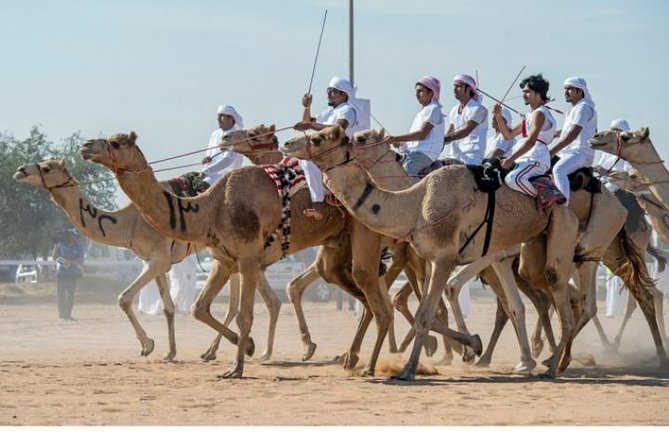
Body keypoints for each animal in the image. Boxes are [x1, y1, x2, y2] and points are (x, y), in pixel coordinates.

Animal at [280, 126, 580, 380]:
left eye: (318, 139)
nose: (287, 144)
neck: (414, 204)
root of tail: (564, 199)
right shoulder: (426, 258)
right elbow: (422, 311)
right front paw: (471, 345)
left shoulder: (443, 259)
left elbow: (424, 314)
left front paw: (409, 369)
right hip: (517, 254)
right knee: (525, 304)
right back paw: (534, 361)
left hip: (559, 232)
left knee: (560, 299)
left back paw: (552, 366)